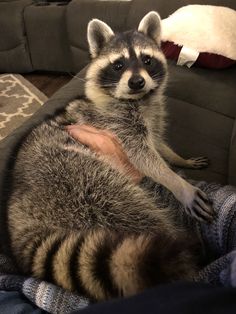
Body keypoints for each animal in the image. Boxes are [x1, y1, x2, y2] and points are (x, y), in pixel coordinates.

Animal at [6, 12, 211, 302]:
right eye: (118, 65)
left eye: (147, 60)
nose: (137, 82)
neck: (138, 99)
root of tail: (17, 217)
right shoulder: (113, 124)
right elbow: (143, 156)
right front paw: (177, 183)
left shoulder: (152, 118)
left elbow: (158, 144)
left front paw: (178, 159)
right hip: (73, 176)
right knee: (129, 207)